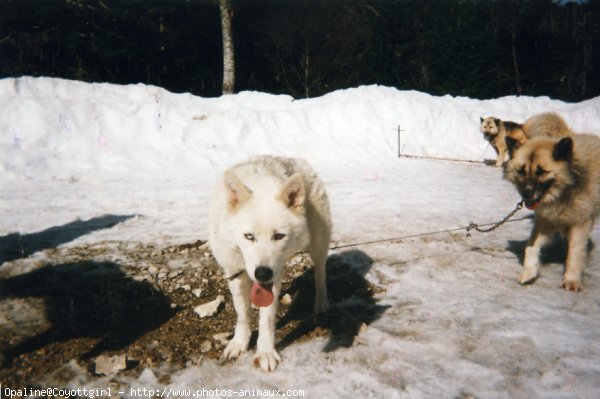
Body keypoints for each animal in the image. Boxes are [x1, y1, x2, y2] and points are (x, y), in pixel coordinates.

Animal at [207, 155, 330, 372]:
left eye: (278, 236)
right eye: (249, 236)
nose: (262, 273)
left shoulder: (275, 276)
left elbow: (267, 319)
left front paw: (265, 353)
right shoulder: (234, 272)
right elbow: (242, 313)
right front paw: (240, 343)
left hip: (318, 244)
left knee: (320, 272)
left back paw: (321, 303)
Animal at [506, 134, 600, 290]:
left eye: (541, 171)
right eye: (521, 171)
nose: (526, 194)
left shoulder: (580, 223)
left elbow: (574, 254)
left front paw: (571, 280)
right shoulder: (545, 220)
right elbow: (531, 247)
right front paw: (529, 272)